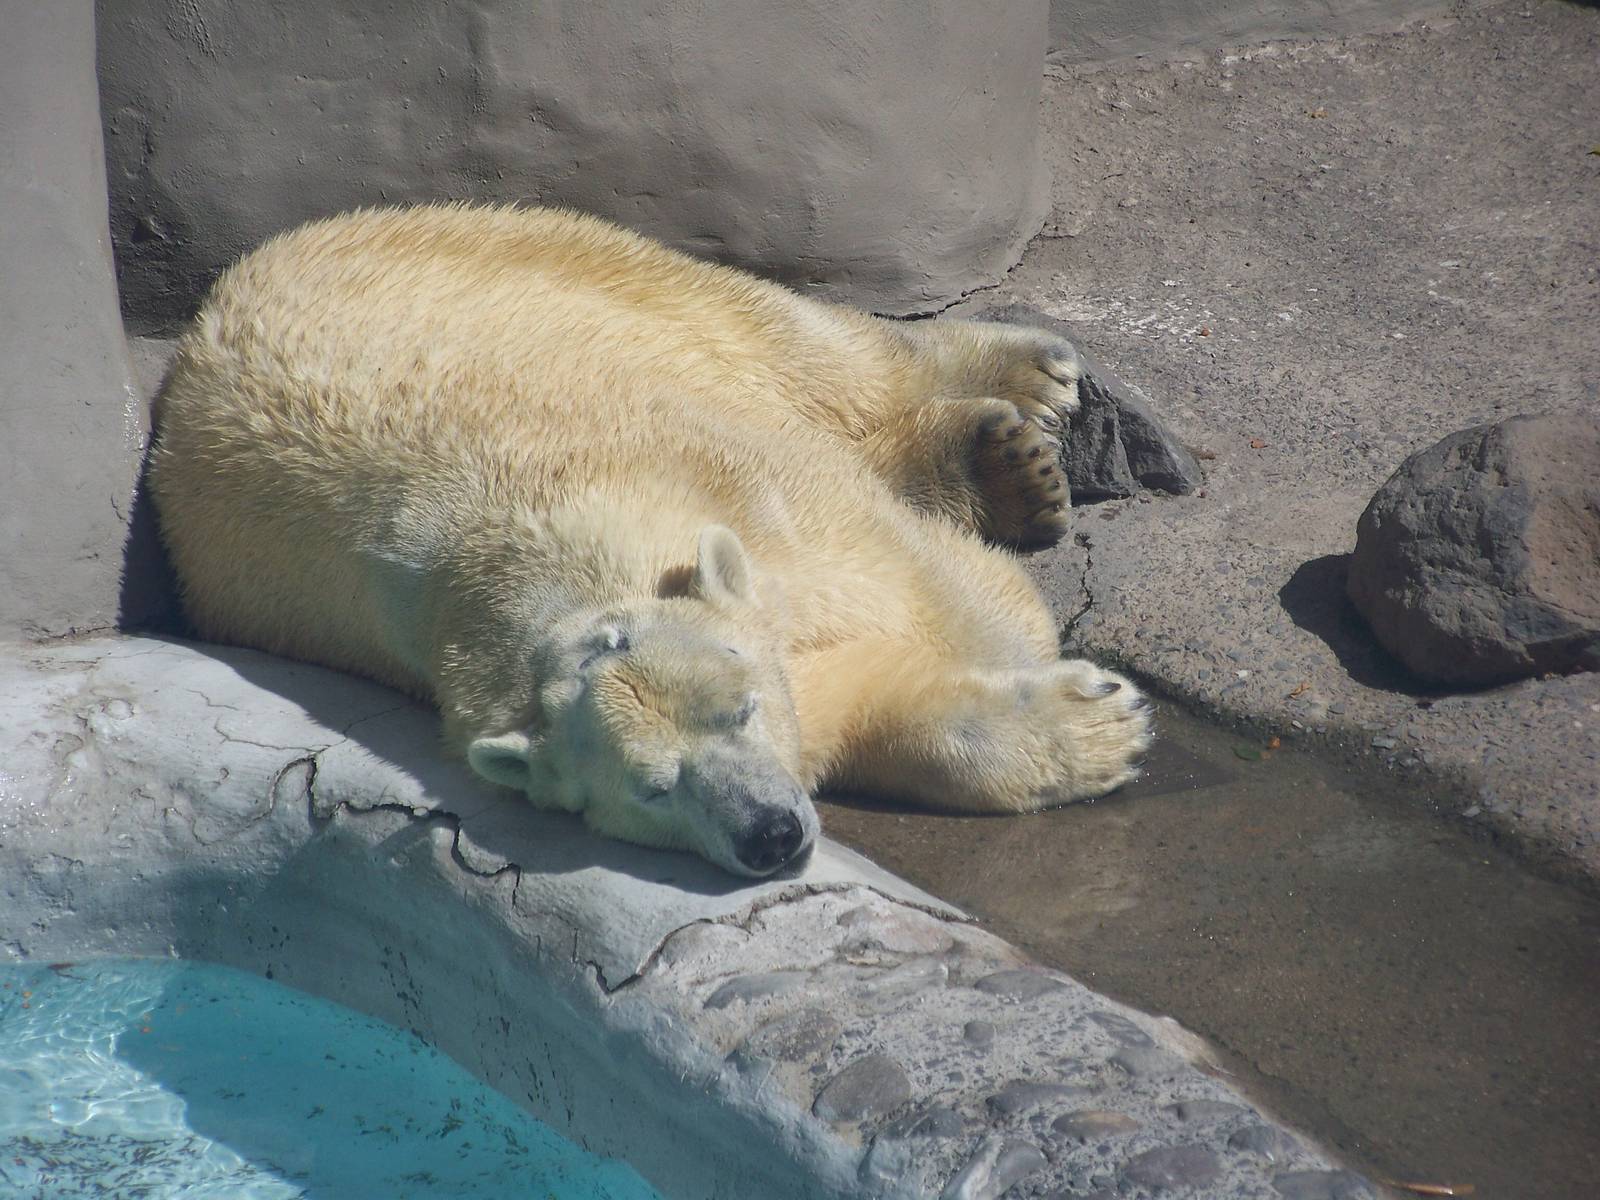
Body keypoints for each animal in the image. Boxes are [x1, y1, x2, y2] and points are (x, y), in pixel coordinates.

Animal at [150, 204, 1152, 877]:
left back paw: (1021, 409)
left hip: (528, 261)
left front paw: (1062, 678)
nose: (769, 835)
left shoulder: (742, 485)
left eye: (738, 711)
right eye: (654, 789)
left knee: (790, 335)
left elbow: (926, 585)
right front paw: (1094, 725)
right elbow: (863, 702)